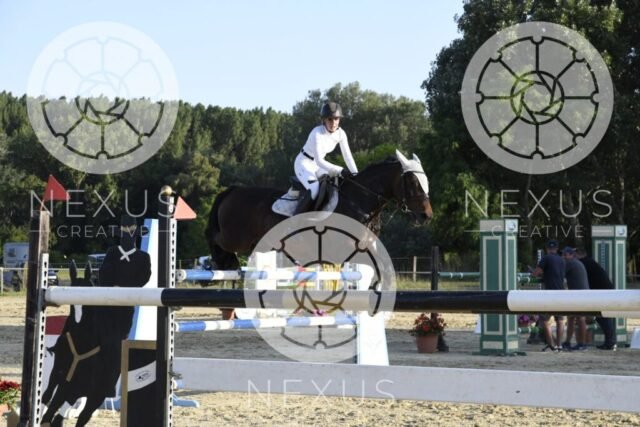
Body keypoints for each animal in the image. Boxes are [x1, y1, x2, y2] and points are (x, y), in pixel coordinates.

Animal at [205, 150, 432, 270]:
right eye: (413, 182)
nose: (426, 215)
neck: (359, 202)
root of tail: (234, 190)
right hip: (235, 237)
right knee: (214, 237)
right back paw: (224, 262)